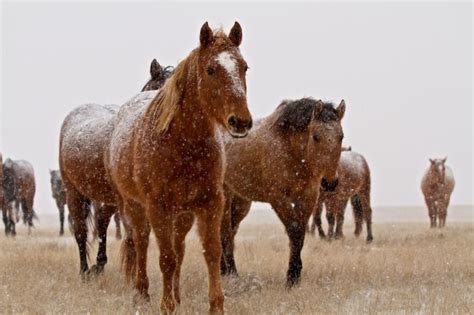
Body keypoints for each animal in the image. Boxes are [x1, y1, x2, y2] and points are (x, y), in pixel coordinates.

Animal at [108, 21, 254, 314]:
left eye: (244, 67)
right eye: (210, 69)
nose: (241, 121)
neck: (184, 144)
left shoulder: (211, 203)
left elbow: (211, 252)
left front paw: (216, 305)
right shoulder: (158, 207)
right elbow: (166, 257)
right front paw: (166, 306)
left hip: (183, 214)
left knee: (179, 246)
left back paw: (175, 293)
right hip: (136, 207)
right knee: (142, 242)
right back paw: (143, 293)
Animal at [220, 99, 346, 288]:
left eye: (341, 136)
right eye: (316, 136)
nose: (329, 182)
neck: (291, 149)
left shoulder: (308, 198)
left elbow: (300, 234)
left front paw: (295, 276)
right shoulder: (278, 198)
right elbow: (294, 231)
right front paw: (291, 278)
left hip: (241, 202)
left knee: (229, 232)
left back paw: (223, 271)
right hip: (225, 196)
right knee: (225, 233)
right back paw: (232, 275)